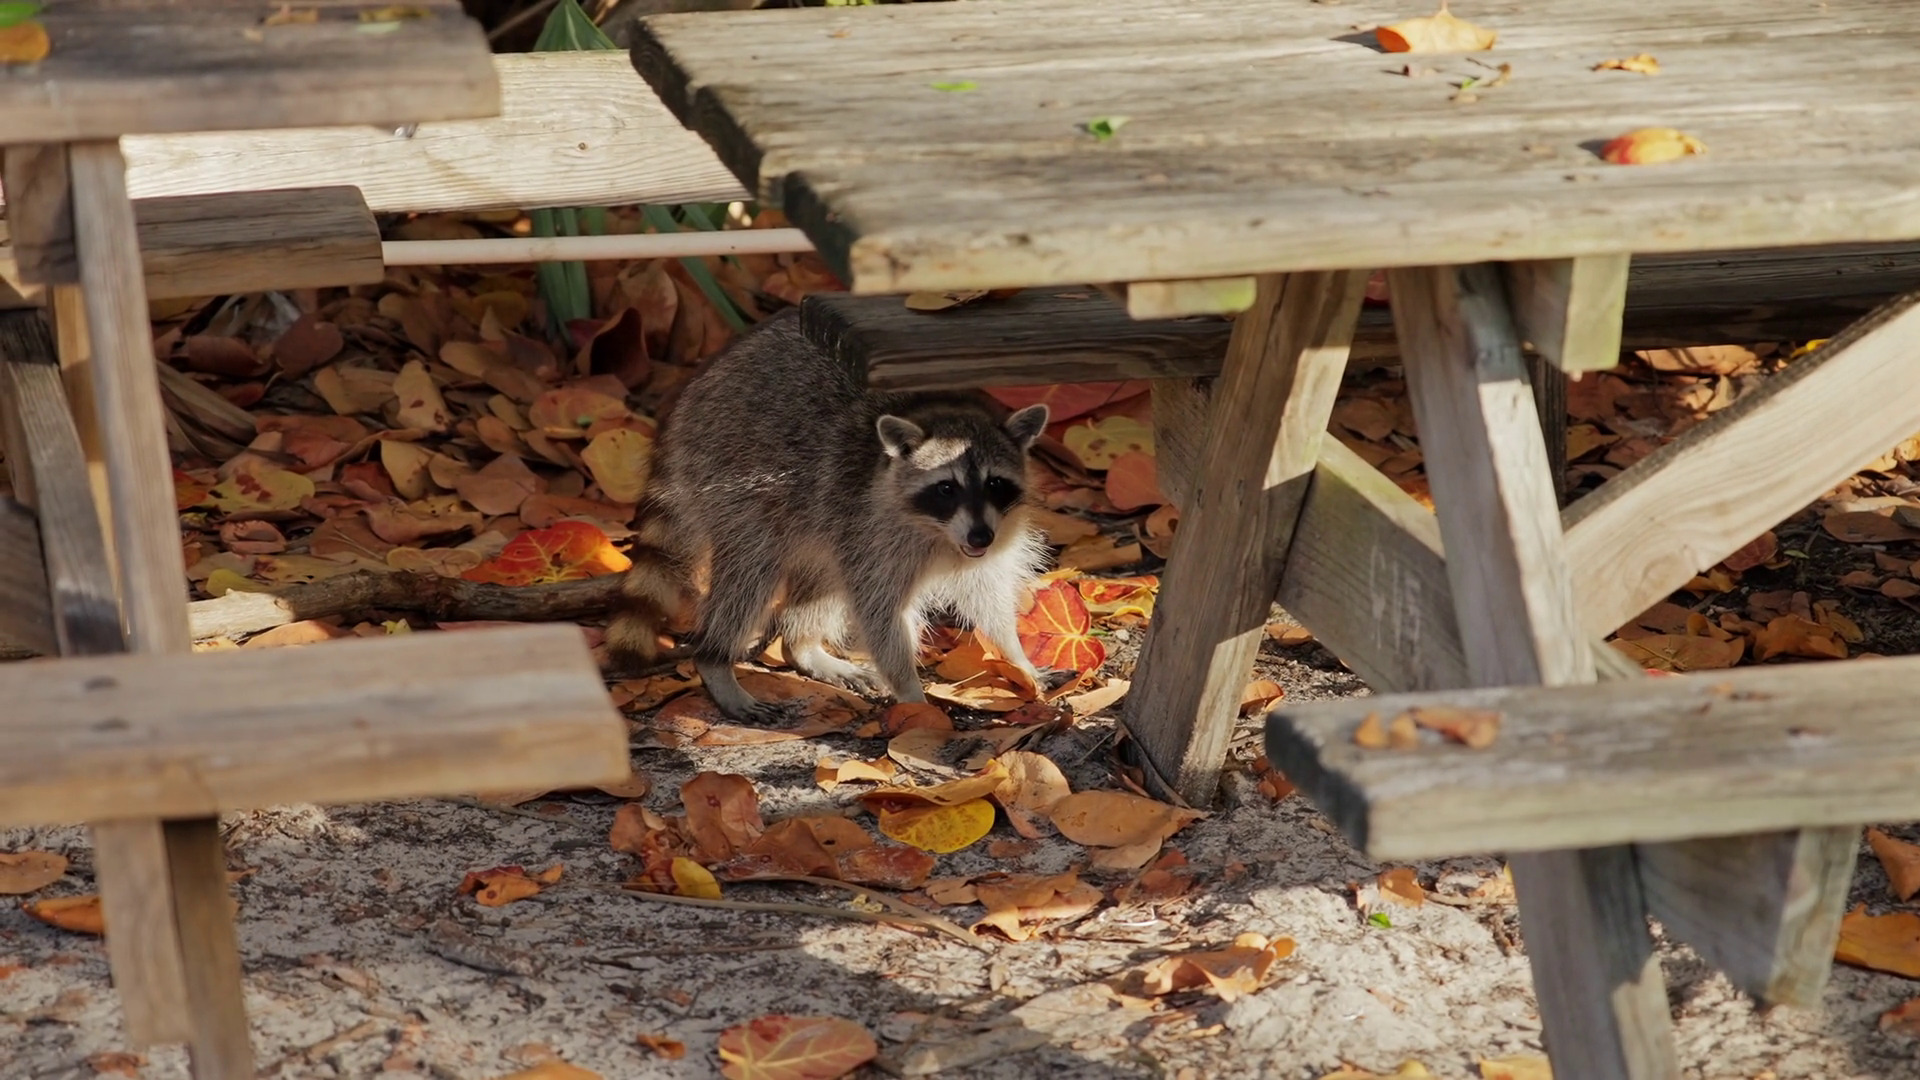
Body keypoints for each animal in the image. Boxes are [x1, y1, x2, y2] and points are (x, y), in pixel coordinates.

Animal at [608, 310, 1050, 724]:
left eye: (995, 484)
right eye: (946, 488)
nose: (980, 538)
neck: (941, 533)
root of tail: (686, 403)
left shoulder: (992, 533)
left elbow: (988, 593)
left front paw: (1014, 655)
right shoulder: (871, 524)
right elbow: (879, 612)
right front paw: (910, 691)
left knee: (822, 574)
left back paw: (801, 644)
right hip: (730, 474)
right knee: (751, 571)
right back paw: (715, 658)